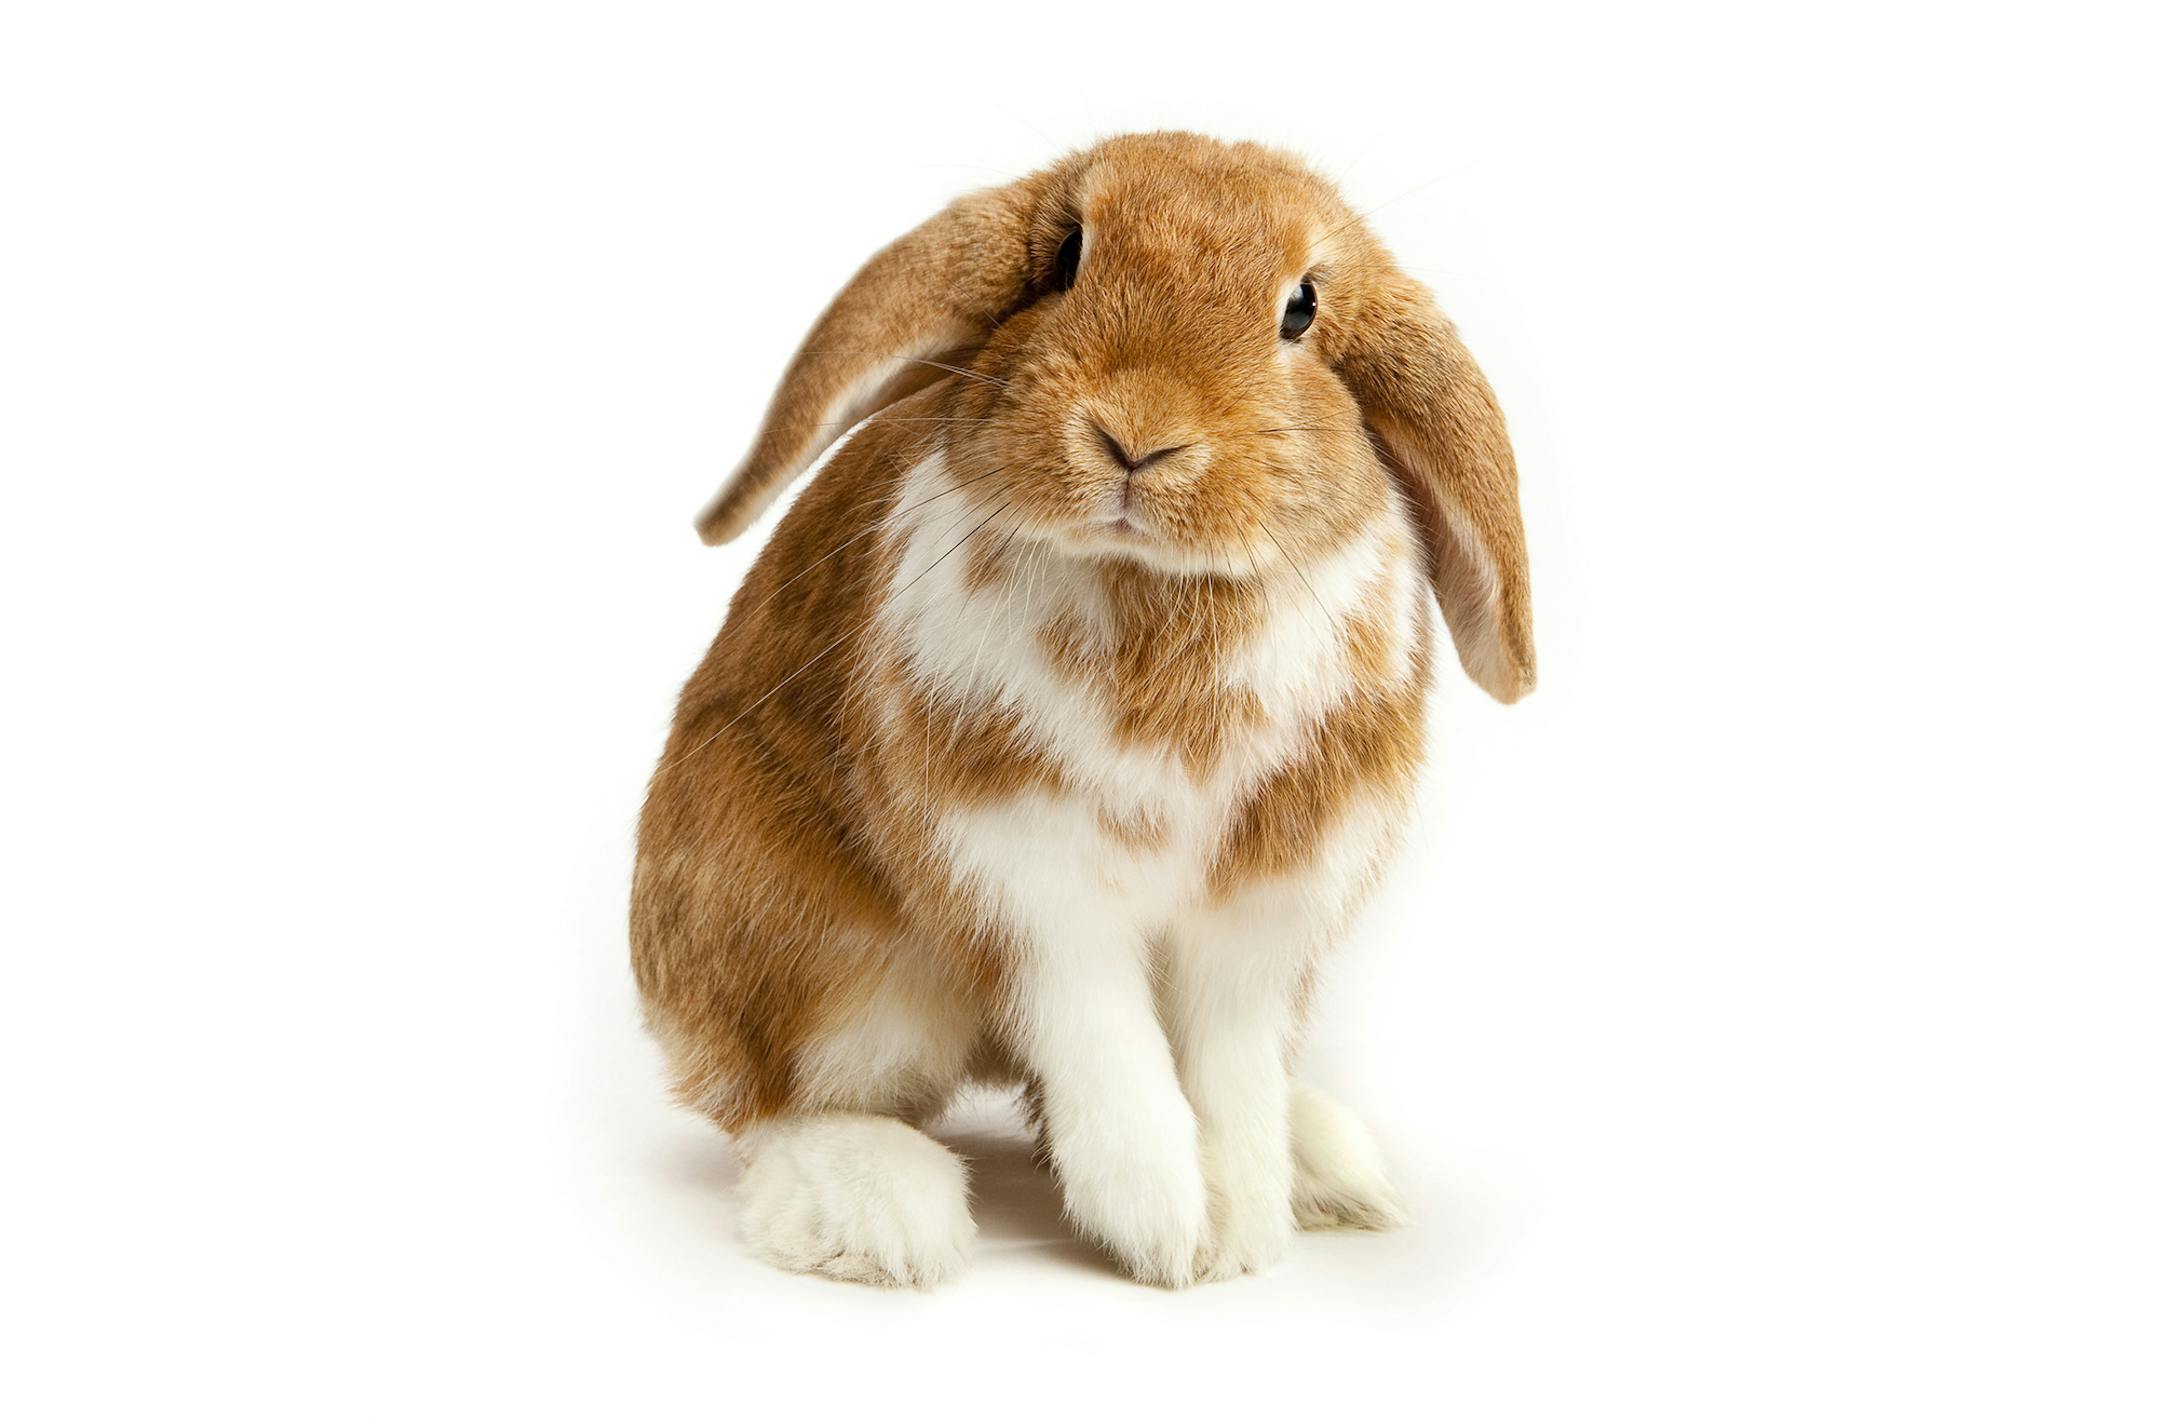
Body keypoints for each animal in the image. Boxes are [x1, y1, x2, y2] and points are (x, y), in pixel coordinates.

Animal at [631, 131, 1534, 1288]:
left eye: (1301, 309)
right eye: (1066, 258)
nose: (1137, 435)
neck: (1152, 584)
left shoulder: (1265, 911)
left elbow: (1229, 1072)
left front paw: (1238, 1225)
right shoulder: (1031, 883)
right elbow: (1109, 1046)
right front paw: (1165, 1223)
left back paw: (1324, 1165)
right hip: (817, 948)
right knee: (777, 1101)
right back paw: (877, 1209)